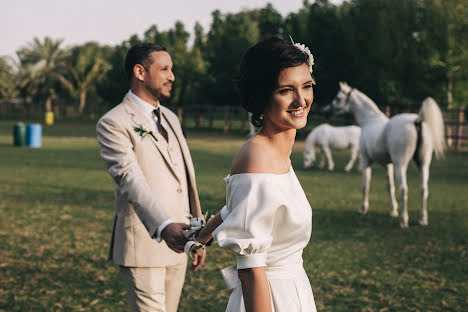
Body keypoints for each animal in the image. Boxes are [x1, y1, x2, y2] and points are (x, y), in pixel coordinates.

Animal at [330, 81, 446, 228]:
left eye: (338, 98)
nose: (327, 110)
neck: (369, 120)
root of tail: (417, 120)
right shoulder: (388, 165)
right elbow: (390, 186)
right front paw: (393, 210)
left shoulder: (365, 161)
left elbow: (365, 185)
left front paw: (363, 209)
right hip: (423, 164)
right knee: (423, 189)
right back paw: (422, 219)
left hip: (400, 165)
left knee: (404, 189)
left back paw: (404, 221)